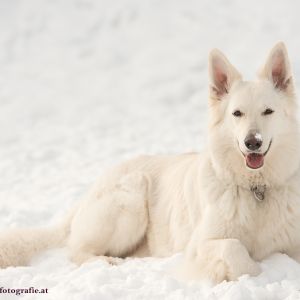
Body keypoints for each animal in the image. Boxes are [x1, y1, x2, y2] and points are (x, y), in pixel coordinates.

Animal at [0, 42, 300, 284]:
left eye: (268, 111)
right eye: (237, 113)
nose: (253, 142)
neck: (257, 190)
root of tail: (89, 192)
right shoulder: (200, 245)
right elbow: (236, 250)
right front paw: (253, 273)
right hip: (131, 201)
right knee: (77, 252)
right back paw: (108, 262)